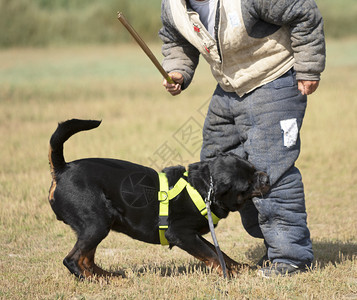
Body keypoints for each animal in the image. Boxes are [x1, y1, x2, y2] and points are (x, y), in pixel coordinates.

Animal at [48, 119, 270, 278]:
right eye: (247, 185)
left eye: (253, 168)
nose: (266, 177)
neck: (203, 189)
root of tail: (62, 169)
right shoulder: (180, 233)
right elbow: (212, 255)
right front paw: (228, 274)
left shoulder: (194, 234)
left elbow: (219, 252)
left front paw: (238, 267)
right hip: (96, 223)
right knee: (73, 259)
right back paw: (97, 279)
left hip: (98, 226)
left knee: (87, 259)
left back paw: (108, 276)